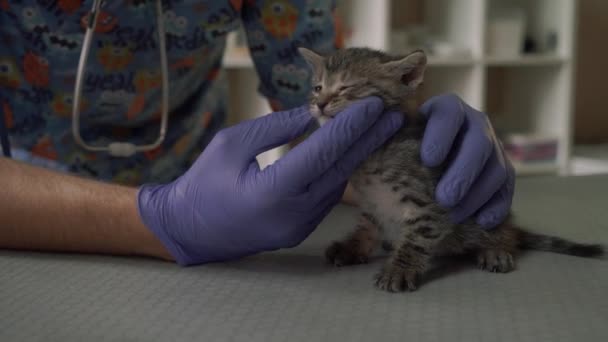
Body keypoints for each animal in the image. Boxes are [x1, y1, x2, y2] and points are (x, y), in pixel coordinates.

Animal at [298, 46, 604, 292]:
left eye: (346, 88)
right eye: (317, 88)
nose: (319, 104)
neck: (372, 155)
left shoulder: (430, 202)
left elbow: (416, 238)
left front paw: (400, 268)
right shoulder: (372, 203)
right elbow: (367, 227)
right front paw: (353, 247)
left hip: (490, 209)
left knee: (502, 231)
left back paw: (496, 248)